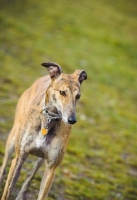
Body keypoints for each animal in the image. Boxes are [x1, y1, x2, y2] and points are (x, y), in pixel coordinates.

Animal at [0, 61, 86, 199]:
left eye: (78, 96)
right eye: (62, 92)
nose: (72, 120)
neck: (48, 122)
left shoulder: (51, 169)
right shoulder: (19, 158)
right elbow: (7, 191)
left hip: (41, 161)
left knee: (31, 175)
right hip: (12, 140)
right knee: (4, 166)